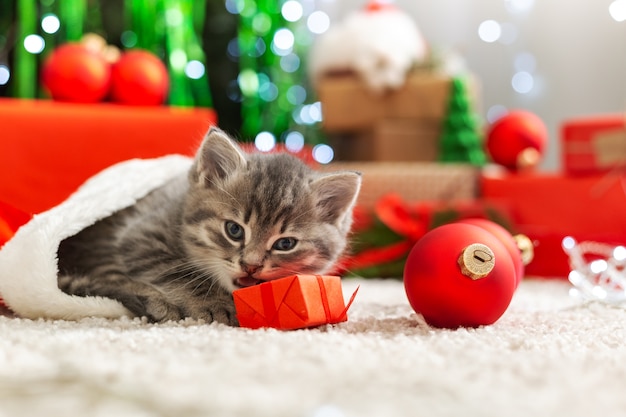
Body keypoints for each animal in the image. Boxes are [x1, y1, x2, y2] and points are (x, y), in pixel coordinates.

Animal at [59, 127, 360, 324]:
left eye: (285, 244)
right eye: (234, 230)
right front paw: (213, 303)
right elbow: (180, 273)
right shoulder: (141, 234)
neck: (180, 212)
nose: (251, 266)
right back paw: (158, 303)